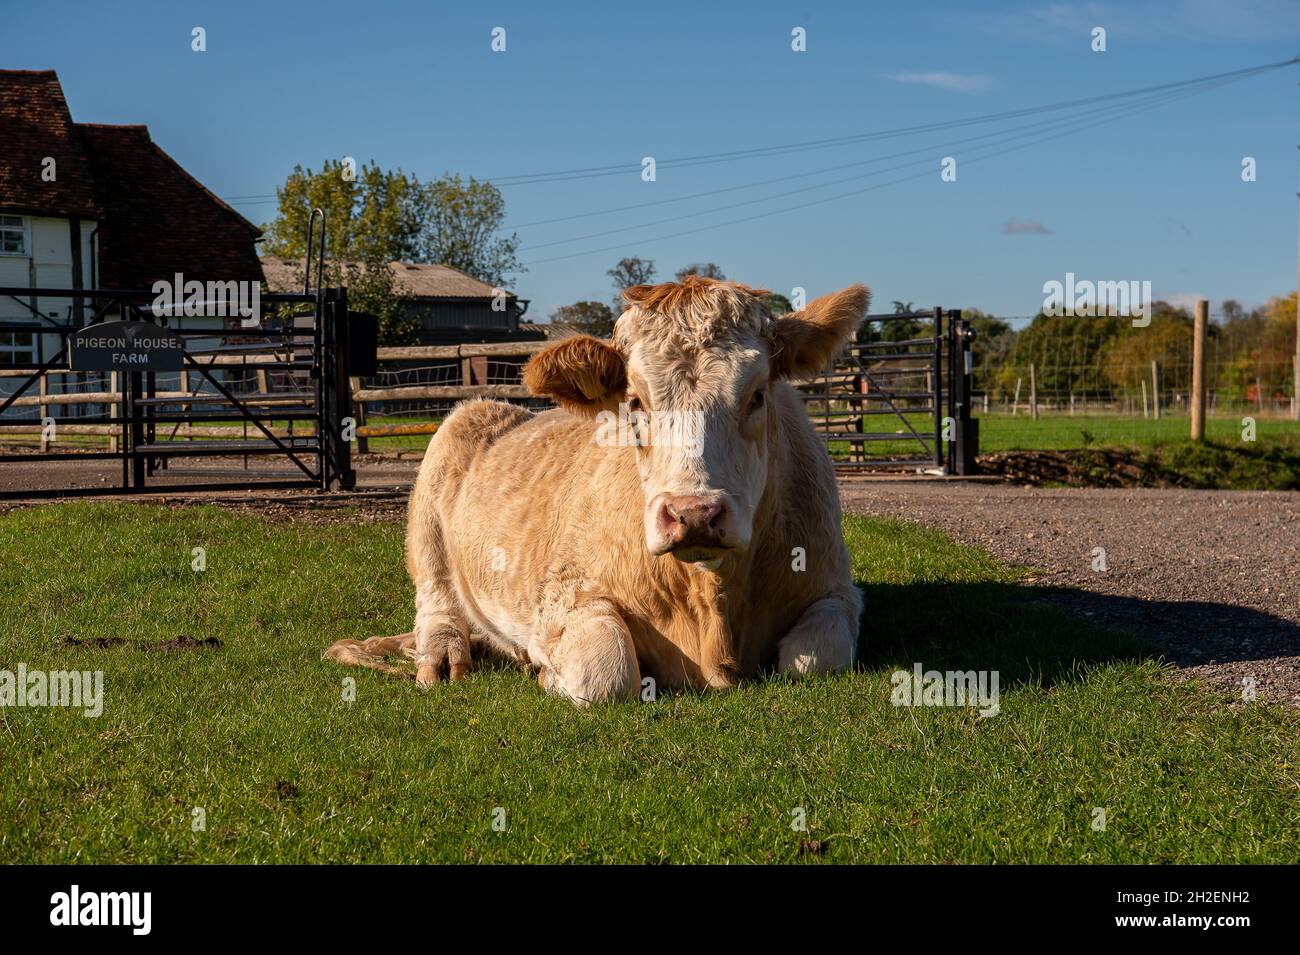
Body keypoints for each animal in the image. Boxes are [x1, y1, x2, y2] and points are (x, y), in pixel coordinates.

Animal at [325, 276, 868, 701]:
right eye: (635, 401)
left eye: (757, 395)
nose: (693, 514)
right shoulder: (565, 594)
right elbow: (607, 670)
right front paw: (545, 669)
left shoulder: (837, 589)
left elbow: (813, 657)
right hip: (439, 479)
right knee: (436, 599)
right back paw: (444, 651)